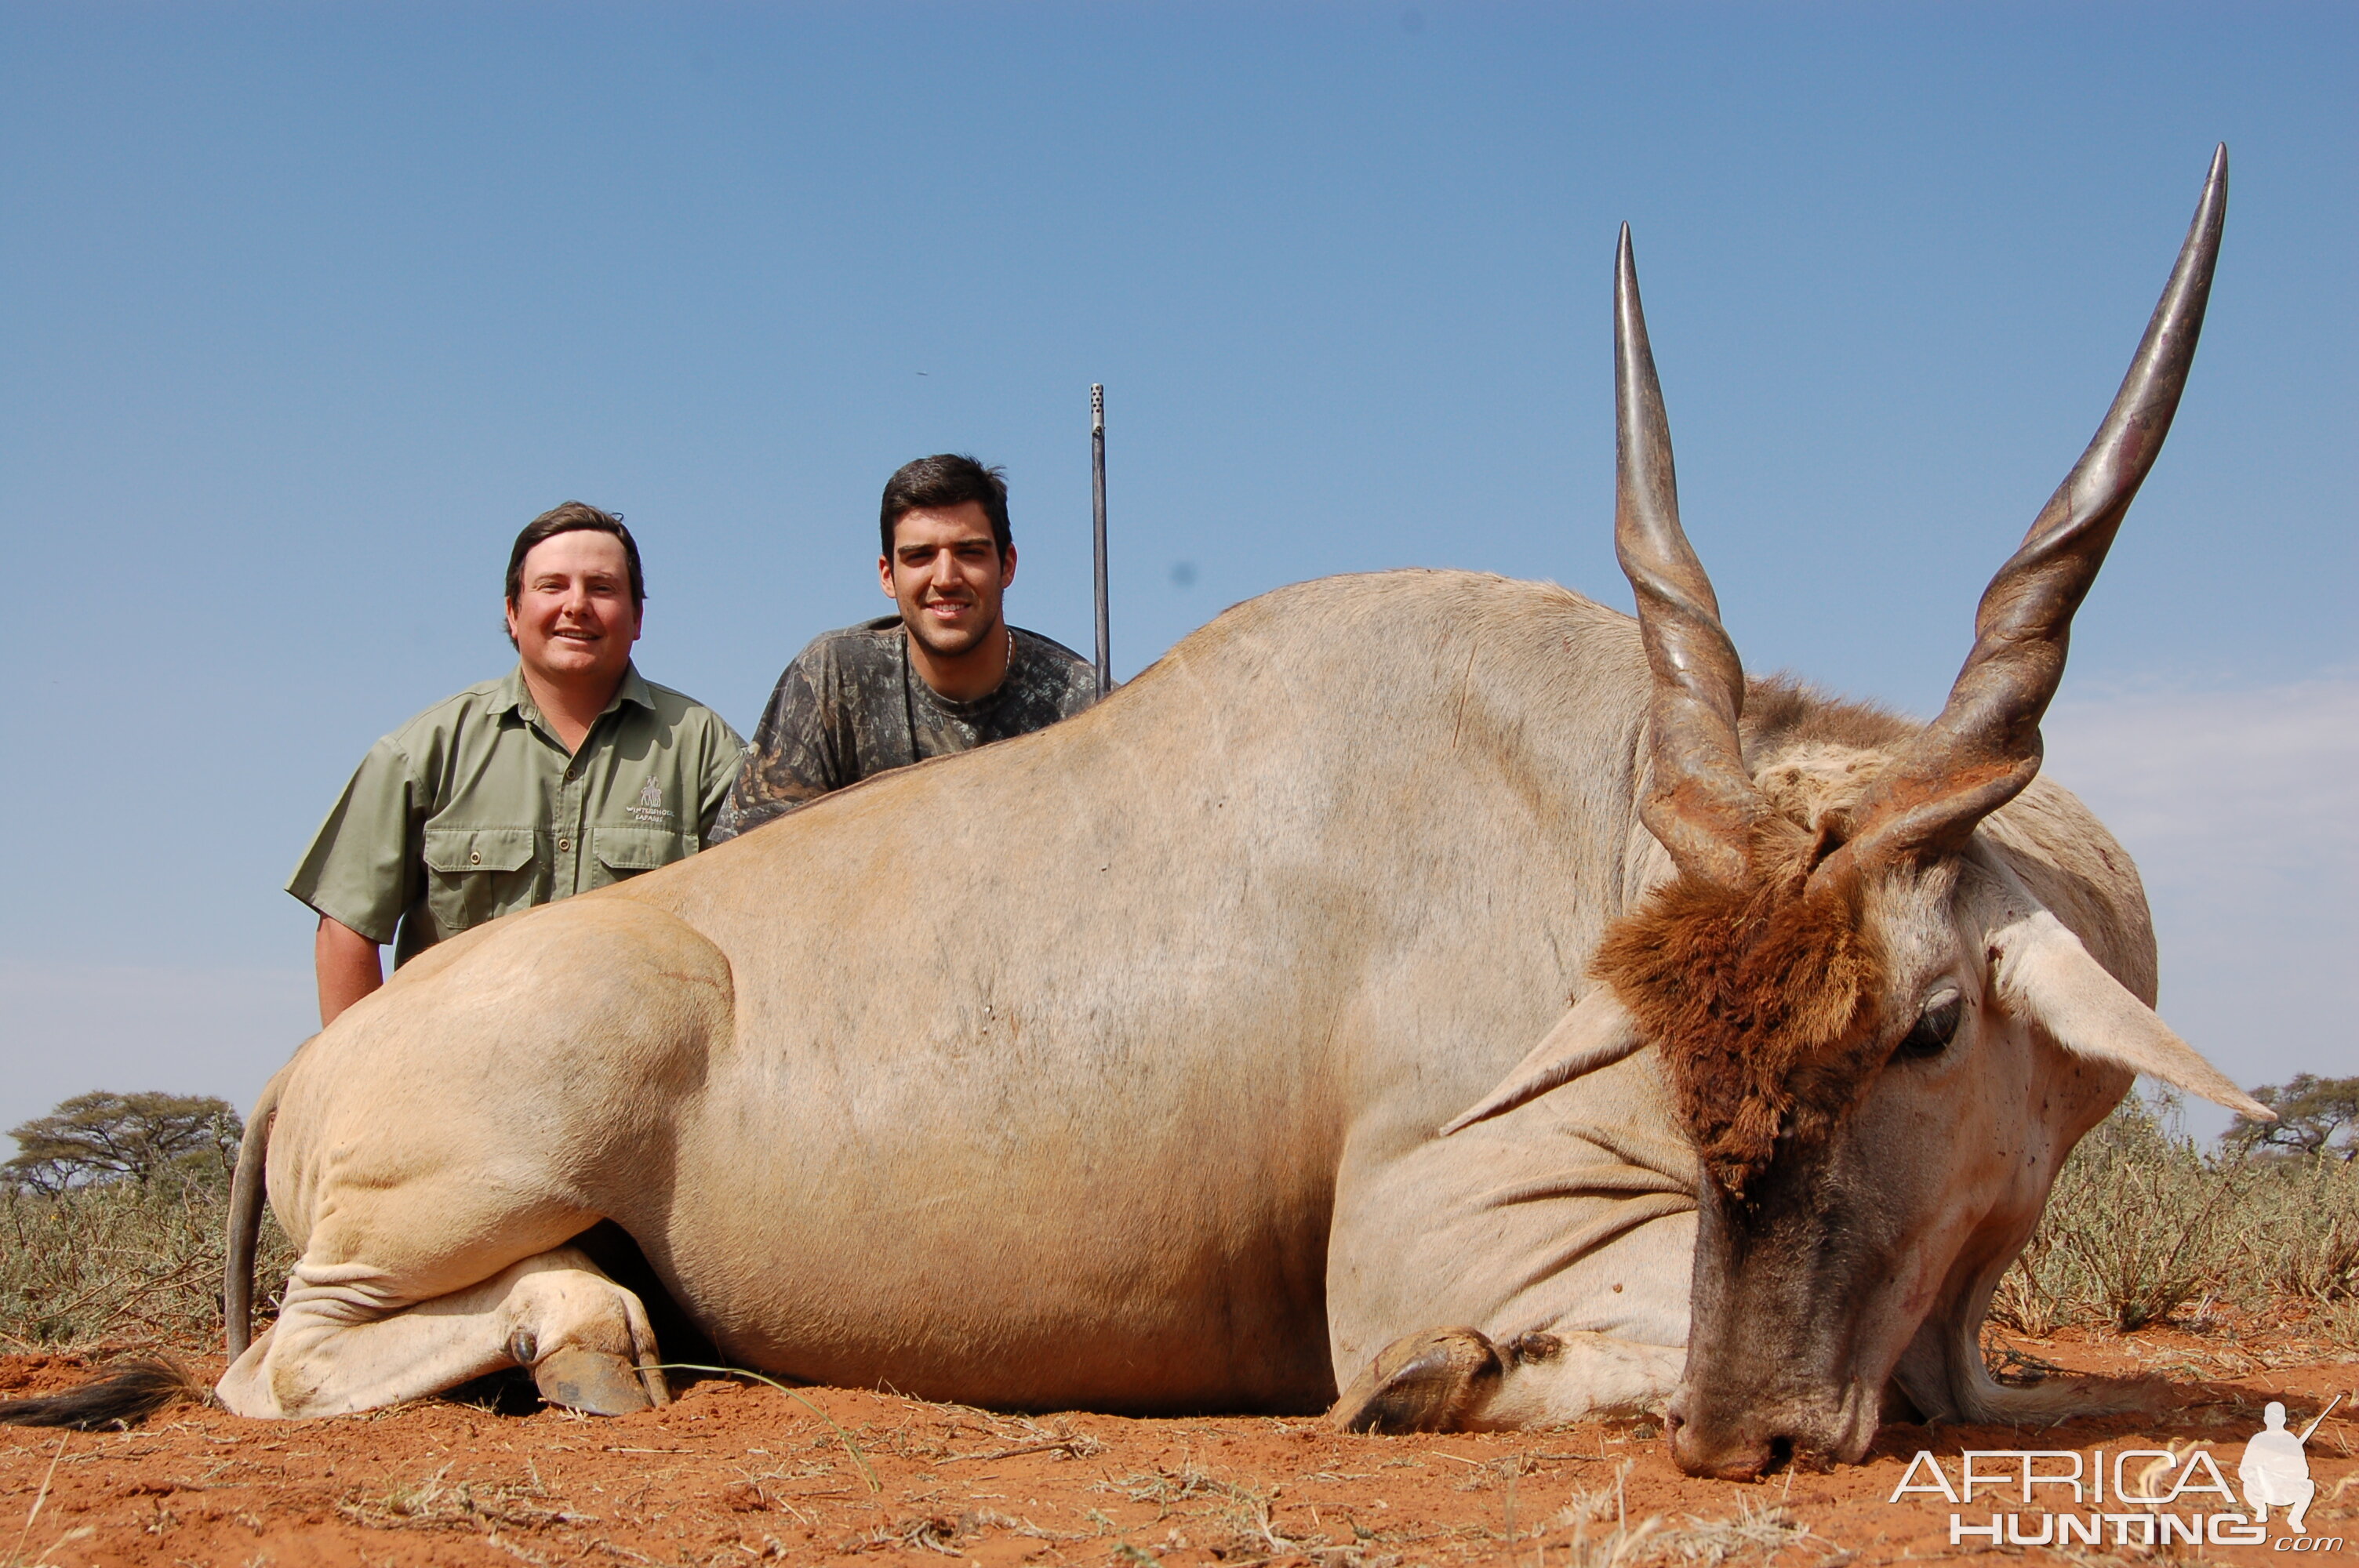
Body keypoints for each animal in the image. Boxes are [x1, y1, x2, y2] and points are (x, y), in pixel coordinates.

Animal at [0, 149, 2255, 1480]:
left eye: (1929, 1024)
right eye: (1663, 1033)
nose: (1747, 1432)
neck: (1580, 803)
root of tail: (303, 1075)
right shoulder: (1453, 1238)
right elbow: (1467, 1343)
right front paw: (1436, 1384)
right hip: (469, 1177)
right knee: (289, 1369)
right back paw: (587, 1347)